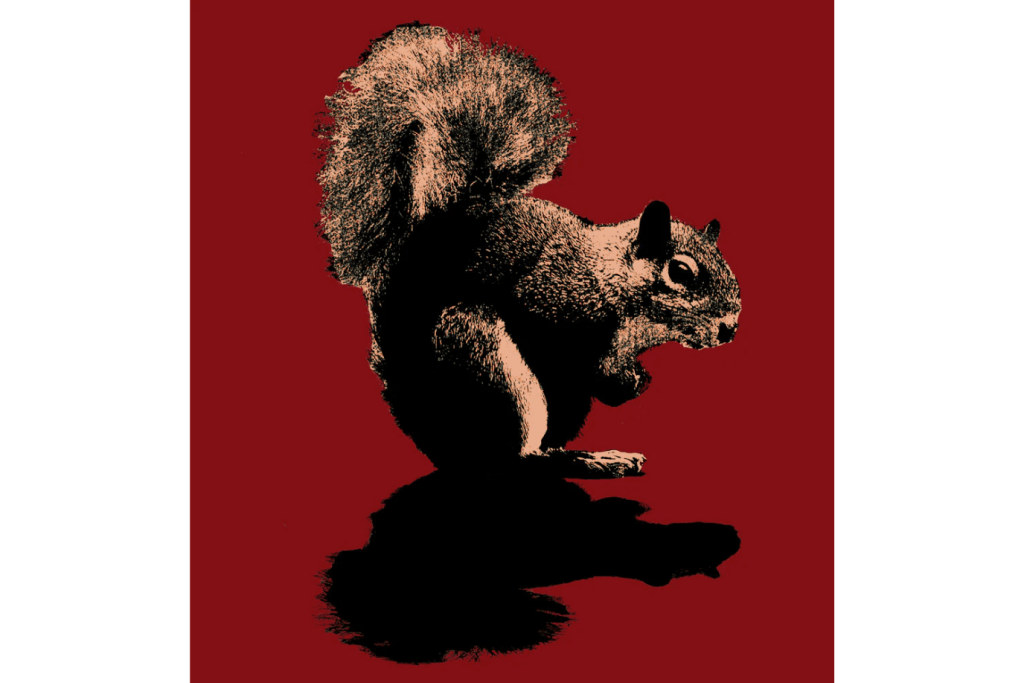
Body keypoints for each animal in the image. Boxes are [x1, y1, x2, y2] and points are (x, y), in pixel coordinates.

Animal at [317, 24, 741, 478]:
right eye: (679, 272)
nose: (729, 328)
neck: (609, 280)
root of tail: (435, 431)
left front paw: (631, 383)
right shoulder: (550, 300)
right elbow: (558, 350)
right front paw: (624, 381)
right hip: (487, 362)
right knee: (516, 456)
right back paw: (589, 459)